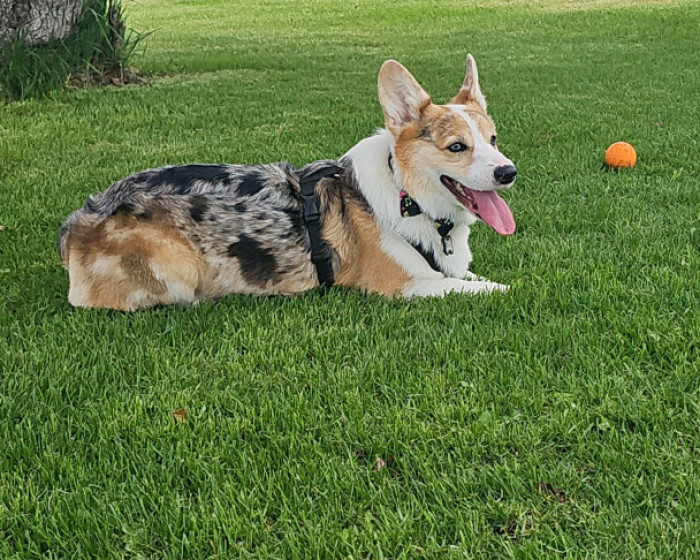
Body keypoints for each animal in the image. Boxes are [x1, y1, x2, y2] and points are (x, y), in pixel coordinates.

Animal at [58, 54, 517, 310]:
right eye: (456, 147)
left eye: (493, 139)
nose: (508, 172)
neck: (409, 195)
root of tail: (79, 221)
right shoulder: (406, 284)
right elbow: (489, 288)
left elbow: (470, 277)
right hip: (178, 271)